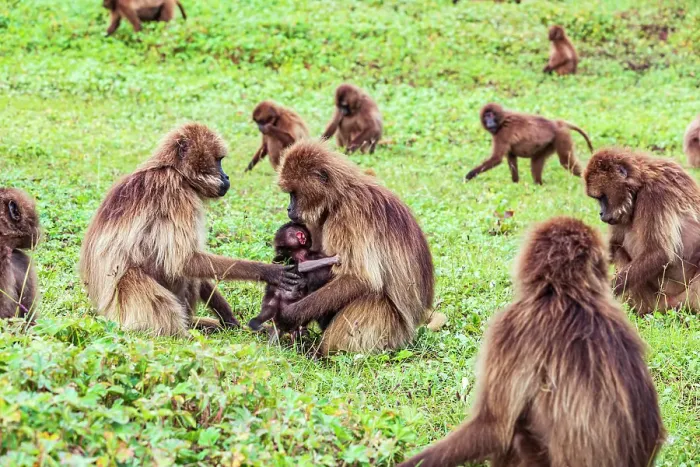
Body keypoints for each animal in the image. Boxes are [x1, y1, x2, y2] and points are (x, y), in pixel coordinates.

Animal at [79, 123, 299, 337]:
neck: (175, 170)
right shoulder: (176, 195)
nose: (227, 176)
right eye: (219, 161)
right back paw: (183, 333)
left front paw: (229, 319)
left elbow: (191, 262)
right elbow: (182, 260)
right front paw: (267, 271)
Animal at [276, 140, 439, 355]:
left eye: (293, 194)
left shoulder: (350, 217)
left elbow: (360, 278)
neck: (339, 198)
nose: (289, 209)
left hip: (390, 330)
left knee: (370, 297)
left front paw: (289, 316)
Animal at [585, 147, 700, 314]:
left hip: (674, 300)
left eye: (602, 198)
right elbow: (613, 244)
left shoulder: (654, 194)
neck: (642, 180)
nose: (601, 214)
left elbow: (659, 253)